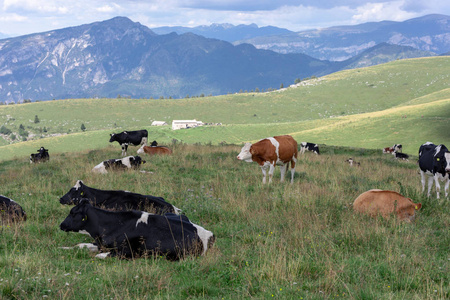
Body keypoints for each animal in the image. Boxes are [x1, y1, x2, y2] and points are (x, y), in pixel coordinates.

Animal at [59, 202, 214, 260]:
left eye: (72, 213)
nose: (61, 225)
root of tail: (208, 234)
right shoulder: (101, 244)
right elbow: (79, 246)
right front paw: (62, 248)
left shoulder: (129, 252)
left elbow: (100, 256)